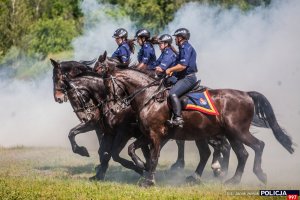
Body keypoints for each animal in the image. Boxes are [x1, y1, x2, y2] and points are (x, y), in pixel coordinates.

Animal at [95, 50, 294, 187]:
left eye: (107, 84)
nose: (111, 108)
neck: (149, 97)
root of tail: (246, 94)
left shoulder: (156, 135)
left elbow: (153, 157)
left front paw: (148, 180)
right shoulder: (147, 135)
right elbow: (132, 150)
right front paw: (140, 166)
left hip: (236, 131)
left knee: (257, 146)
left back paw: (258, 174)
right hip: (227, 134)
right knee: (239, 154)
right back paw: (229, 179)